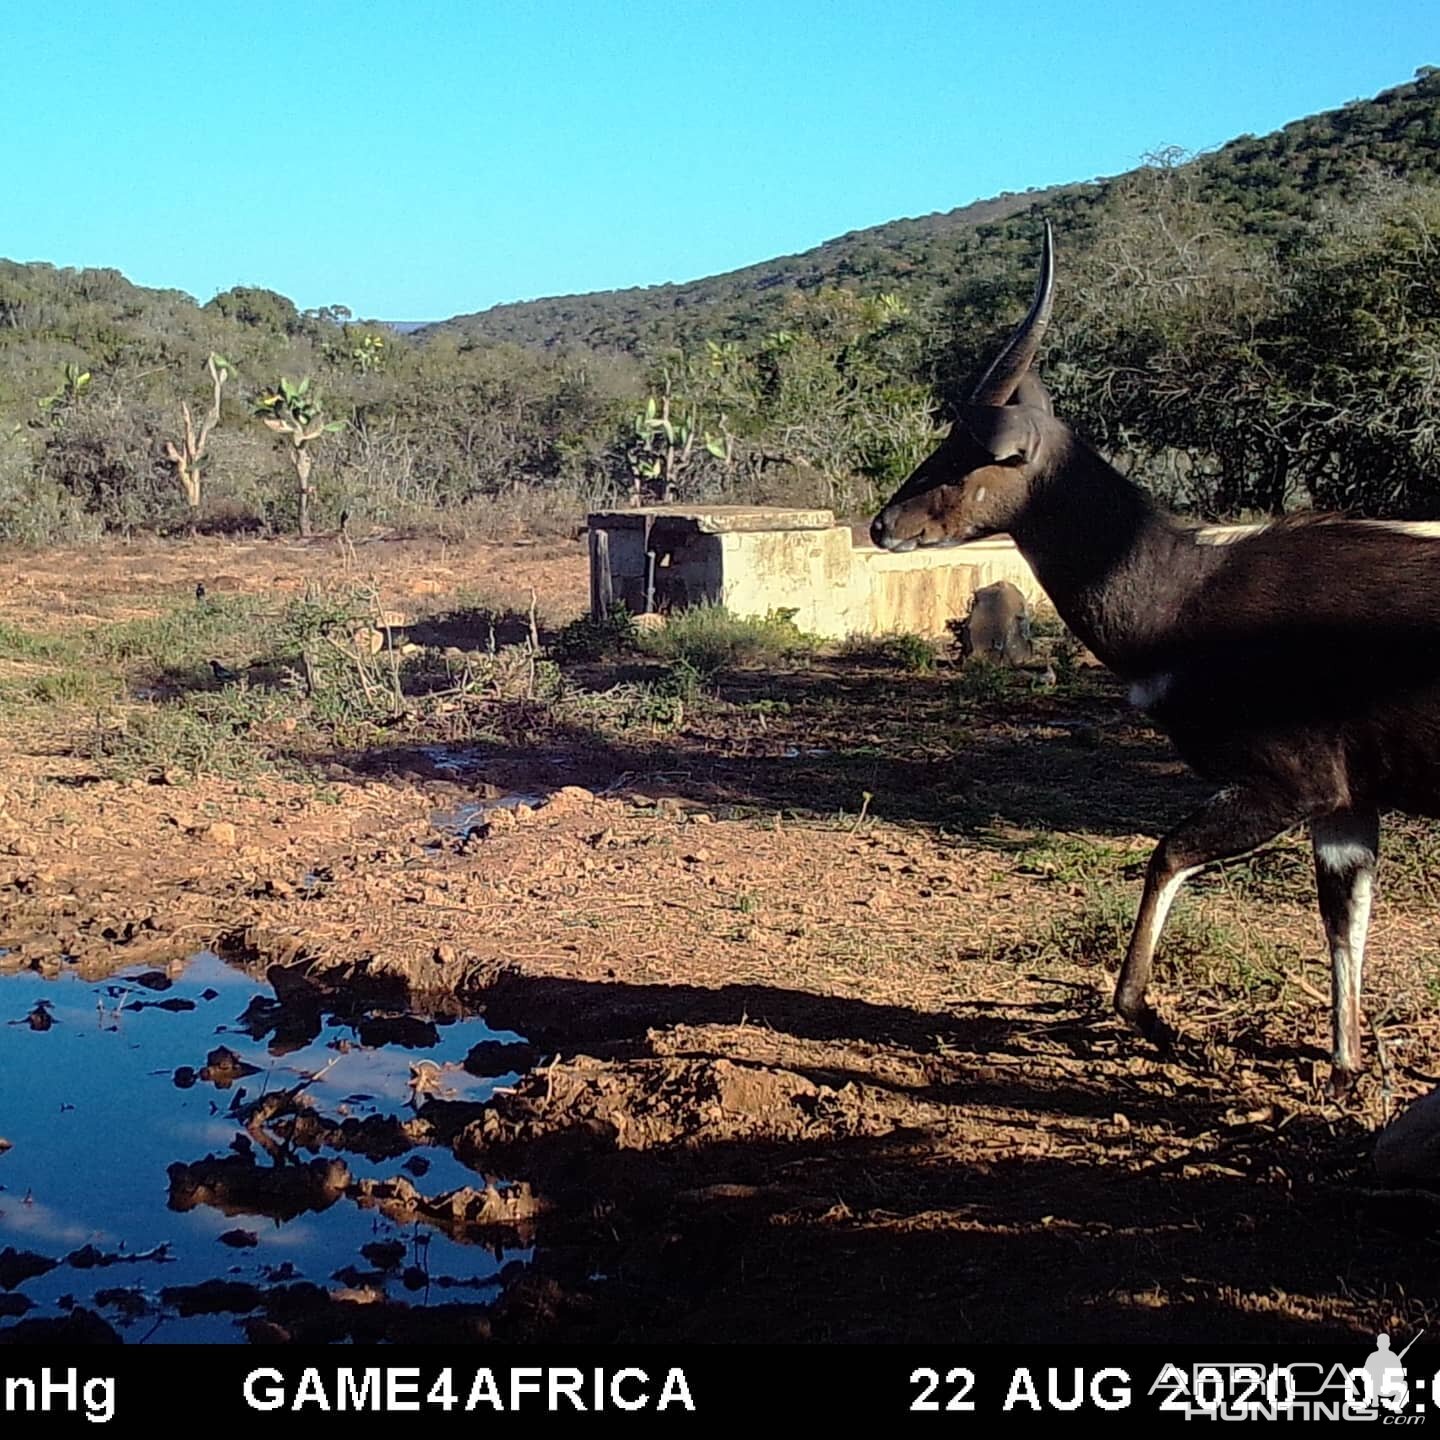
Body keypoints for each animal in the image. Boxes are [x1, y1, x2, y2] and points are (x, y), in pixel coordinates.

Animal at [869, 221, 1440, 1088]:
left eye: (975, 453)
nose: (882, 525)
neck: (1189, 594)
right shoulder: (1347, 804)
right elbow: (1344, 921)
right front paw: (1343, 1068)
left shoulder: (1292, 784)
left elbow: (1165, 856)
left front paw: (1157, 1020)